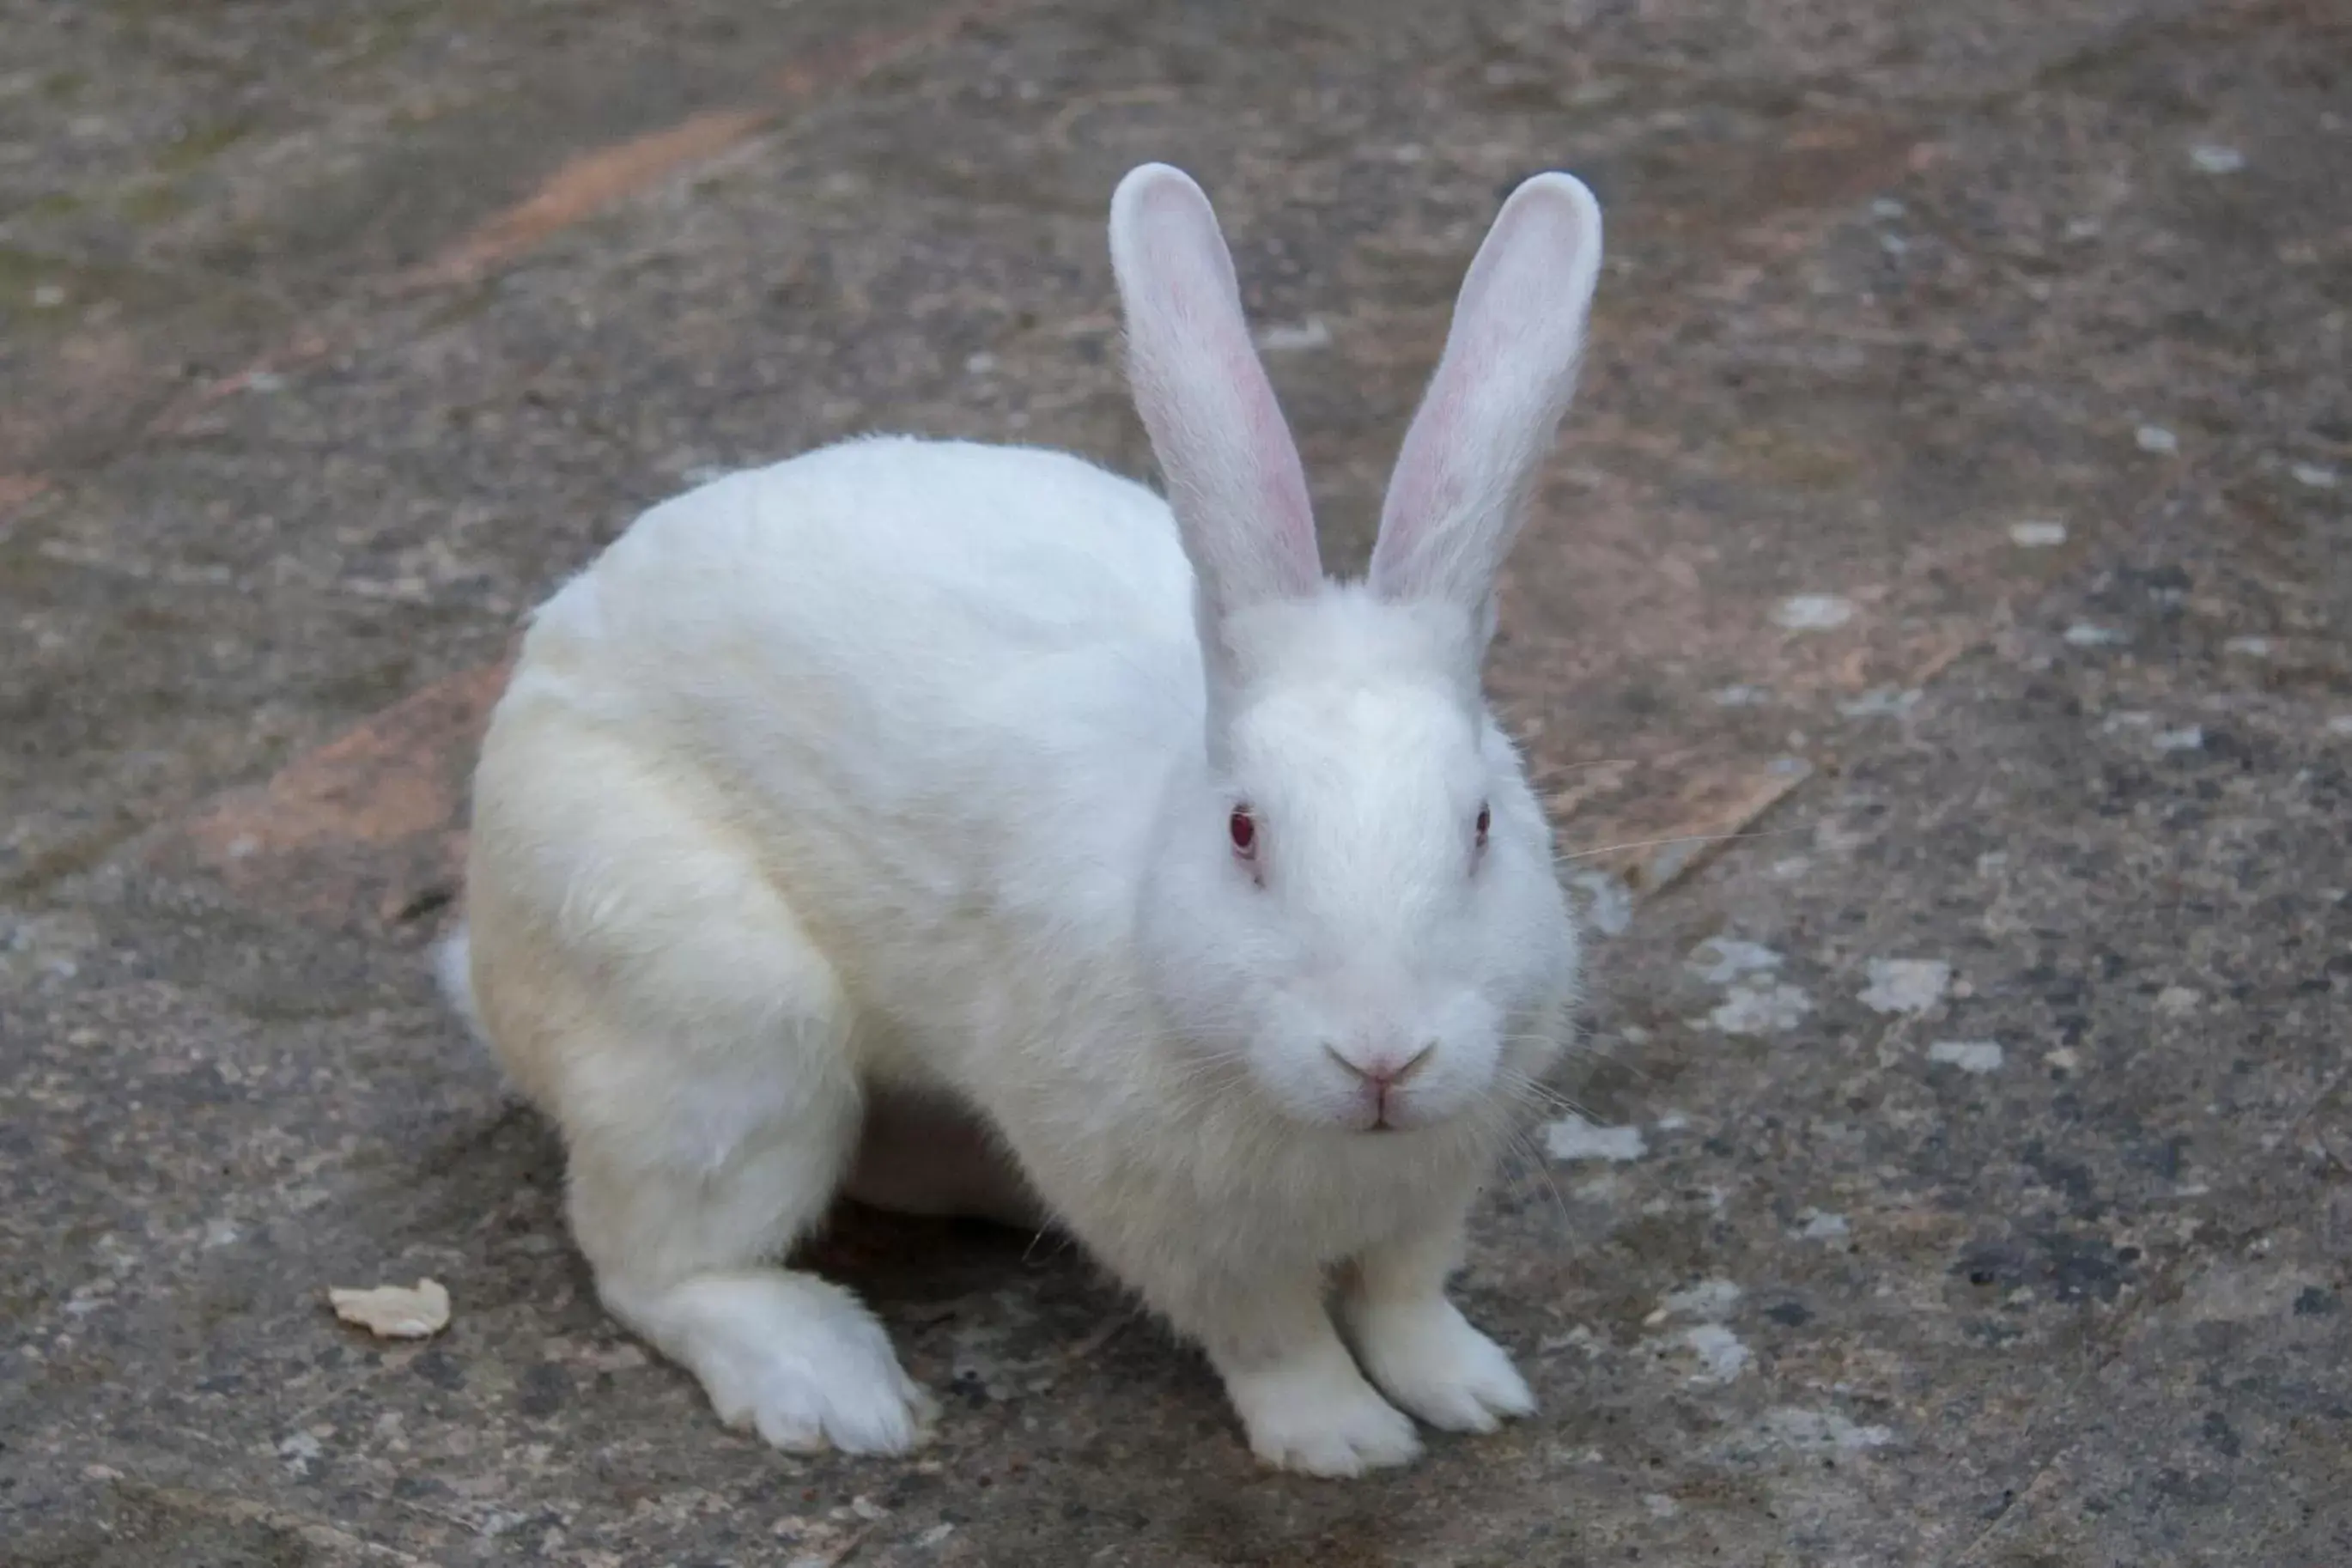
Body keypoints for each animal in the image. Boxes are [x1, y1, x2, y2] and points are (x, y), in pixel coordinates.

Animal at [444, 160, 1599, 1476]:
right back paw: (833, 1387)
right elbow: (1272, 1336)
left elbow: (1406, 1299)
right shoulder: (1171, 1224)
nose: (1383, 1058)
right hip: (715, 1027)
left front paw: (1473, 1391)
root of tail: (485, 950)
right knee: (653, 1264)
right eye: (1244, 833)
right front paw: (1344, 1442)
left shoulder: (1430, 1191)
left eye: (1480, 825)